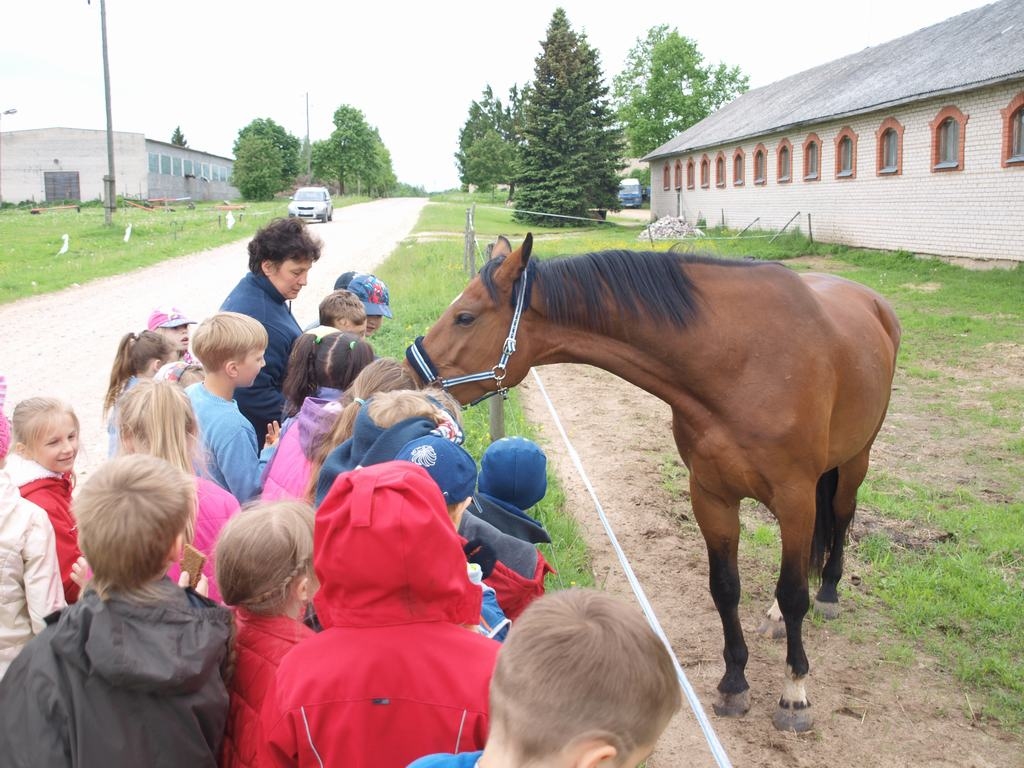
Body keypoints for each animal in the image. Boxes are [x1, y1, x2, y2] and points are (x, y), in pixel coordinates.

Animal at [403, 236, 901, 733]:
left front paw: (794, 694)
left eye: (465, 316)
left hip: (854, 461)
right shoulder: (711, 496)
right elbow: (726, 588)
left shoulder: (795, 497)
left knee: (840, 519)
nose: (413, 376)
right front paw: (734, 683)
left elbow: (795, 593)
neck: (742, 360)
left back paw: (829, 592)